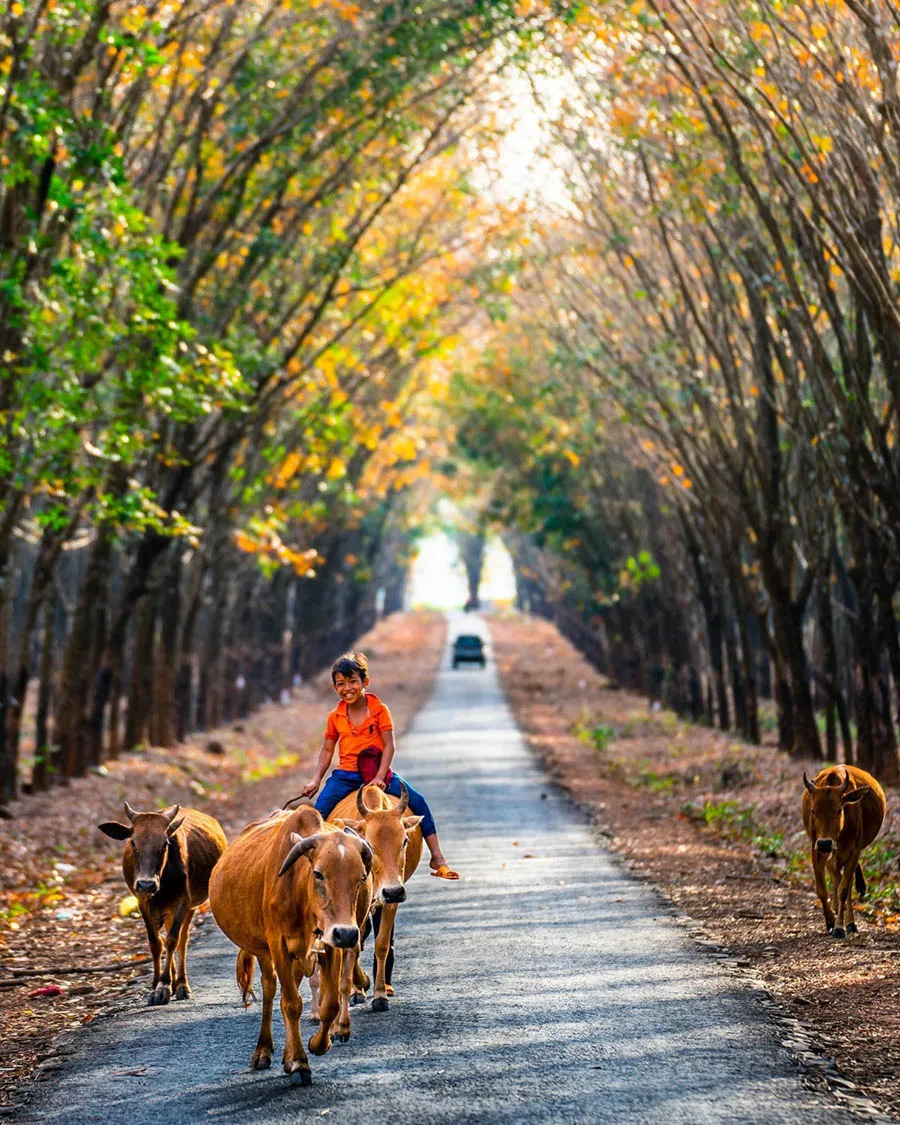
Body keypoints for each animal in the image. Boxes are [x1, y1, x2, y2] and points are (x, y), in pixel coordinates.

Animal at [95, 801, 225, 1003]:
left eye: (165, 843)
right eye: (133, 842)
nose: (146, 884)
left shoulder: (184, 901)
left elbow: (172, 940)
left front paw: (164, 985)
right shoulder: (143, 902)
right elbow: (155, 943)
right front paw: (157, 985)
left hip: (190, 907)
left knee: (182, 940)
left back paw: (181, 984)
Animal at [801, 765, 886, 940]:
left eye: (839, 810)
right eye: (813, 811)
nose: (825, 843)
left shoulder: (854, 851)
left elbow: (844, 890)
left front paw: (840, 926)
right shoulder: (816, 849)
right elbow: (822, 890)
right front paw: (830, 921)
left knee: (845, 881)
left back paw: (850, 922)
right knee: (835, 875)